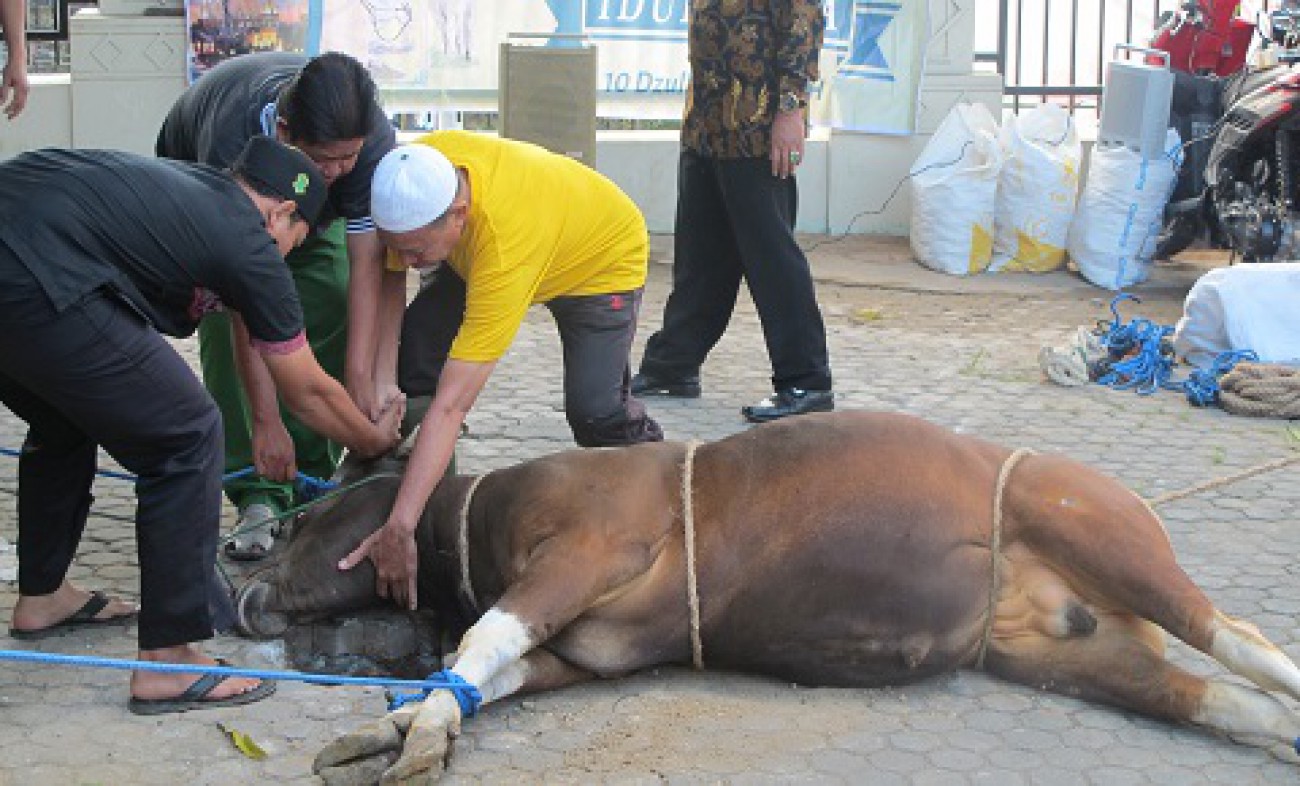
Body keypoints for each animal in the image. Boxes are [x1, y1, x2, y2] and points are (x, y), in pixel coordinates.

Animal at [233, 413, 1300, 779]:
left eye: (304, 520)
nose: (243, 591)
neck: (477, 523)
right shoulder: (580, 654)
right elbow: (486, 675)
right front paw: (404, 723)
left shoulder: (585, 550)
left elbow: (479, 641)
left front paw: (414, 731)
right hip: (1071, 657)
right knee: (1220, 700)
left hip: (1096, 530)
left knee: (1240, 638)